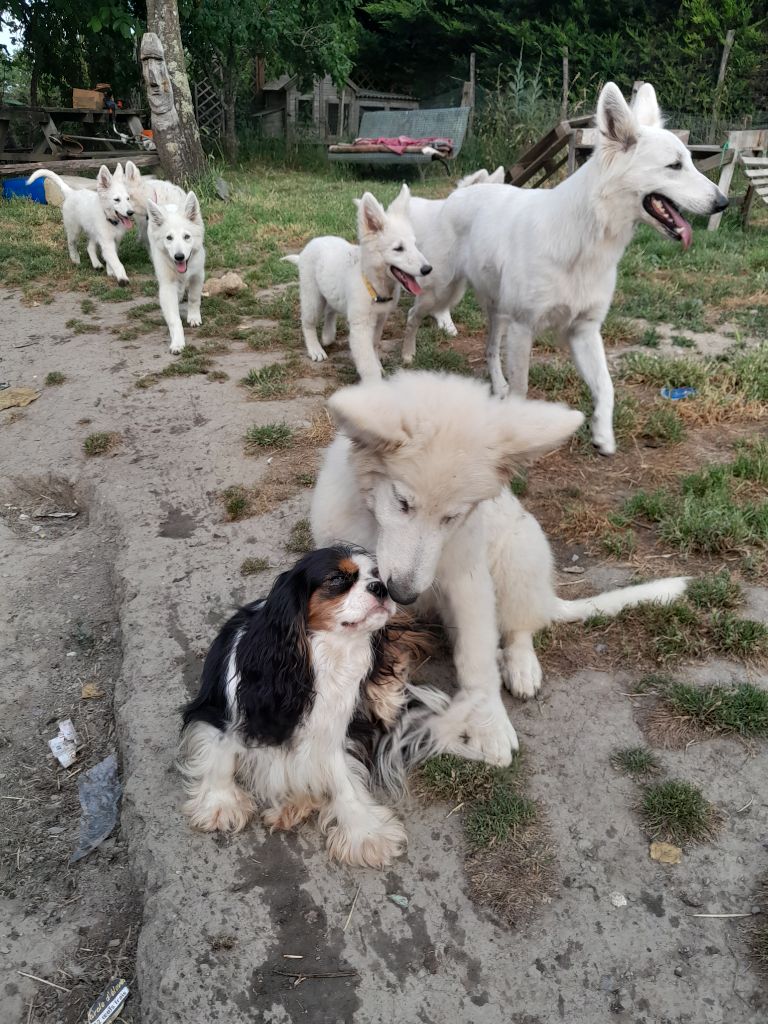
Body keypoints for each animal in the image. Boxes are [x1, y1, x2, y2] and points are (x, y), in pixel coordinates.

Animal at [145, 192, 205, 356]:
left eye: (187, 237)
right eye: (169, 238)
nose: (179, 257)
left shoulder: (198, 275)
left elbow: (194, 298)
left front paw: (194, 317)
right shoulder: (167, 286)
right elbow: (174, 319)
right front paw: (177, 342)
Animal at [282, 183, 434, 380]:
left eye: (415, 245)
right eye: (398, 248)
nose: (428, 269)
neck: (373, 284)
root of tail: (307, 249)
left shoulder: (381, 318)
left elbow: (374, 344)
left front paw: (378, 365)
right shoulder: (360, 326)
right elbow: (367, 362)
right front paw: (375, 380)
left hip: (331, 292)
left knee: (331, 310)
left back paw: (328, 335)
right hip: (312, 297)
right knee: (307, 322)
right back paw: (315, 349)